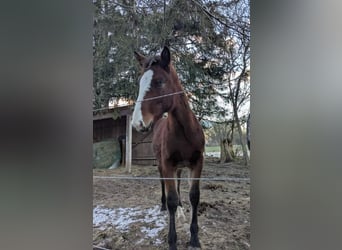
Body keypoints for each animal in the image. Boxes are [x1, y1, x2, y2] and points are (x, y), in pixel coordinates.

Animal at [132, 46, 204, 248]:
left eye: (159, 81)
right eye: (140, 83)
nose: (137, 123)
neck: (185, 131)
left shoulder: (197, 162)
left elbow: (194, 196)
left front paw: (194, 238)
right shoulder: (167, 163)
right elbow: (171, 198)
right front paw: (172, 241)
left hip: (179, 166)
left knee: (178, 183)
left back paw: (180, 207)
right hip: (161, 164)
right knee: (163, 183)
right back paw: (163, 205)